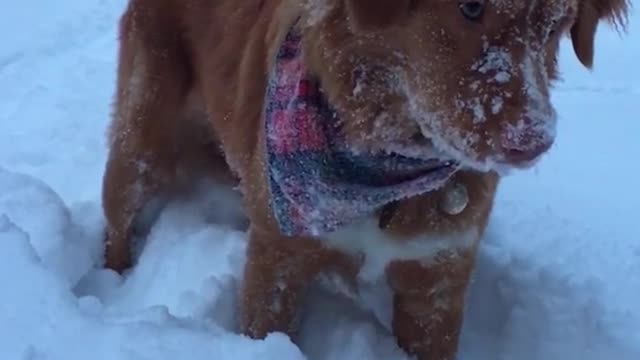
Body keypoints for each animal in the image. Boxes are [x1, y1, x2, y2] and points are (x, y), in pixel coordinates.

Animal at [104, 1, 632, 358]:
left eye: (557, 25)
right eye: (470, 6)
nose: (533, 141)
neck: (384, 168)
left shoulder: (437, 280)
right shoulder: (277, 258)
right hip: (141, 138)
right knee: (117, 220)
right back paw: (113, 280)